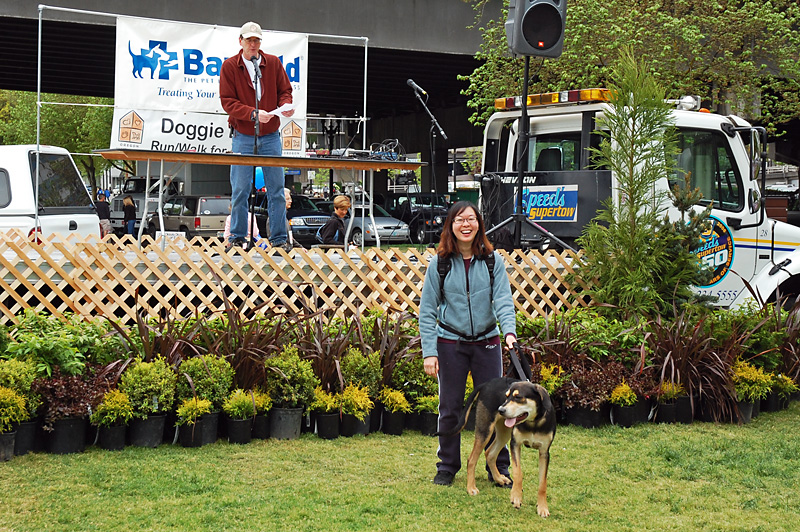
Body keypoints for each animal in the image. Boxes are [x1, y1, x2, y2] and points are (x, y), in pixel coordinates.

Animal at [438, 376, 556, 516]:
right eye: (506, 396)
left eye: (518, 397)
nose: (501, 410)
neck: (533, 423)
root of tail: (486, 384)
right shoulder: (515, 444)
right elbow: (518, 472)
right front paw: (516, 497)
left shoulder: (544, 452)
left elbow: (543, 483)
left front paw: (542, 507)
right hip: (485, 429)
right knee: (472, 459)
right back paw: (471, 488)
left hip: (504, 432)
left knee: (490, 453)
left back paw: (499, 479)